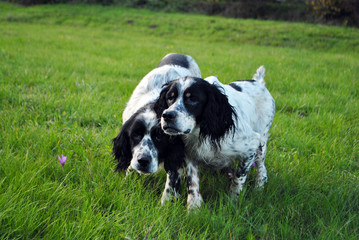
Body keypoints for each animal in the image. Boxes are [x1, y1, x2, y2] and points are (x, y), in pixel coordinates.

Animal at [155, 66, 276, 209]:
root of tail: (258, 82)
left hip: (261, 142)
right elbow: (192, 181)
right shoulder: (190, 153)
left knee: (261, 169)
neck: (201, 132)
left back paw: (258, 189)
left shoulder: (251, 145)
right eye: (170, 98)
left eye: (193, 99)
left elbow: (238, 178)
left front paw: (232, 201)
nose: (167, 115)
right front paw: (194, 207)